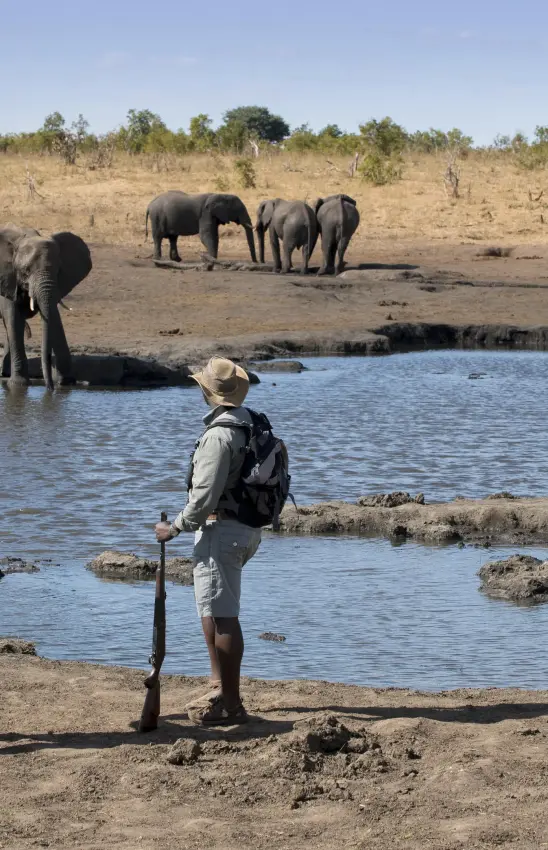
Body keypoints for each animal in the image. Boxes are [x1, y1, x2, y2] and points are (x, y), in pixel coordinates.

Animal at [0, 225, 92, 390]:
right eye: (26, 271)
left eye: (58, 270)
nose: (49, 387)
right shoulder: (8, 280)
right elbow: (14, 319)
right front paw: (18, 385)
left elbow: (54, 317)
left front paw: (66, 383)